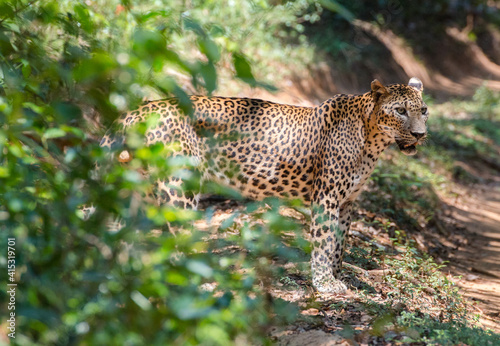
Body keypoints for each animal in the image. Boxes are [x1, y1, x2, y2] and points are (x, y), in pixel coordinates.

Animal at [99, 77, 428, 292]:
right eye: (400, 111)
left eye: (423, 111)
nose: (421, 135)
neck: (372, 140)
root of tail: (134, 112)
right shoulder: (327, 197)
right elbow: (324, 241)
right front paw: (324, 284)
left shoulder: (347, 202)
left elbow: (340, 243)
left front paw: (337, 277)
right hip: (179, 187)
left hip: (132, 186)